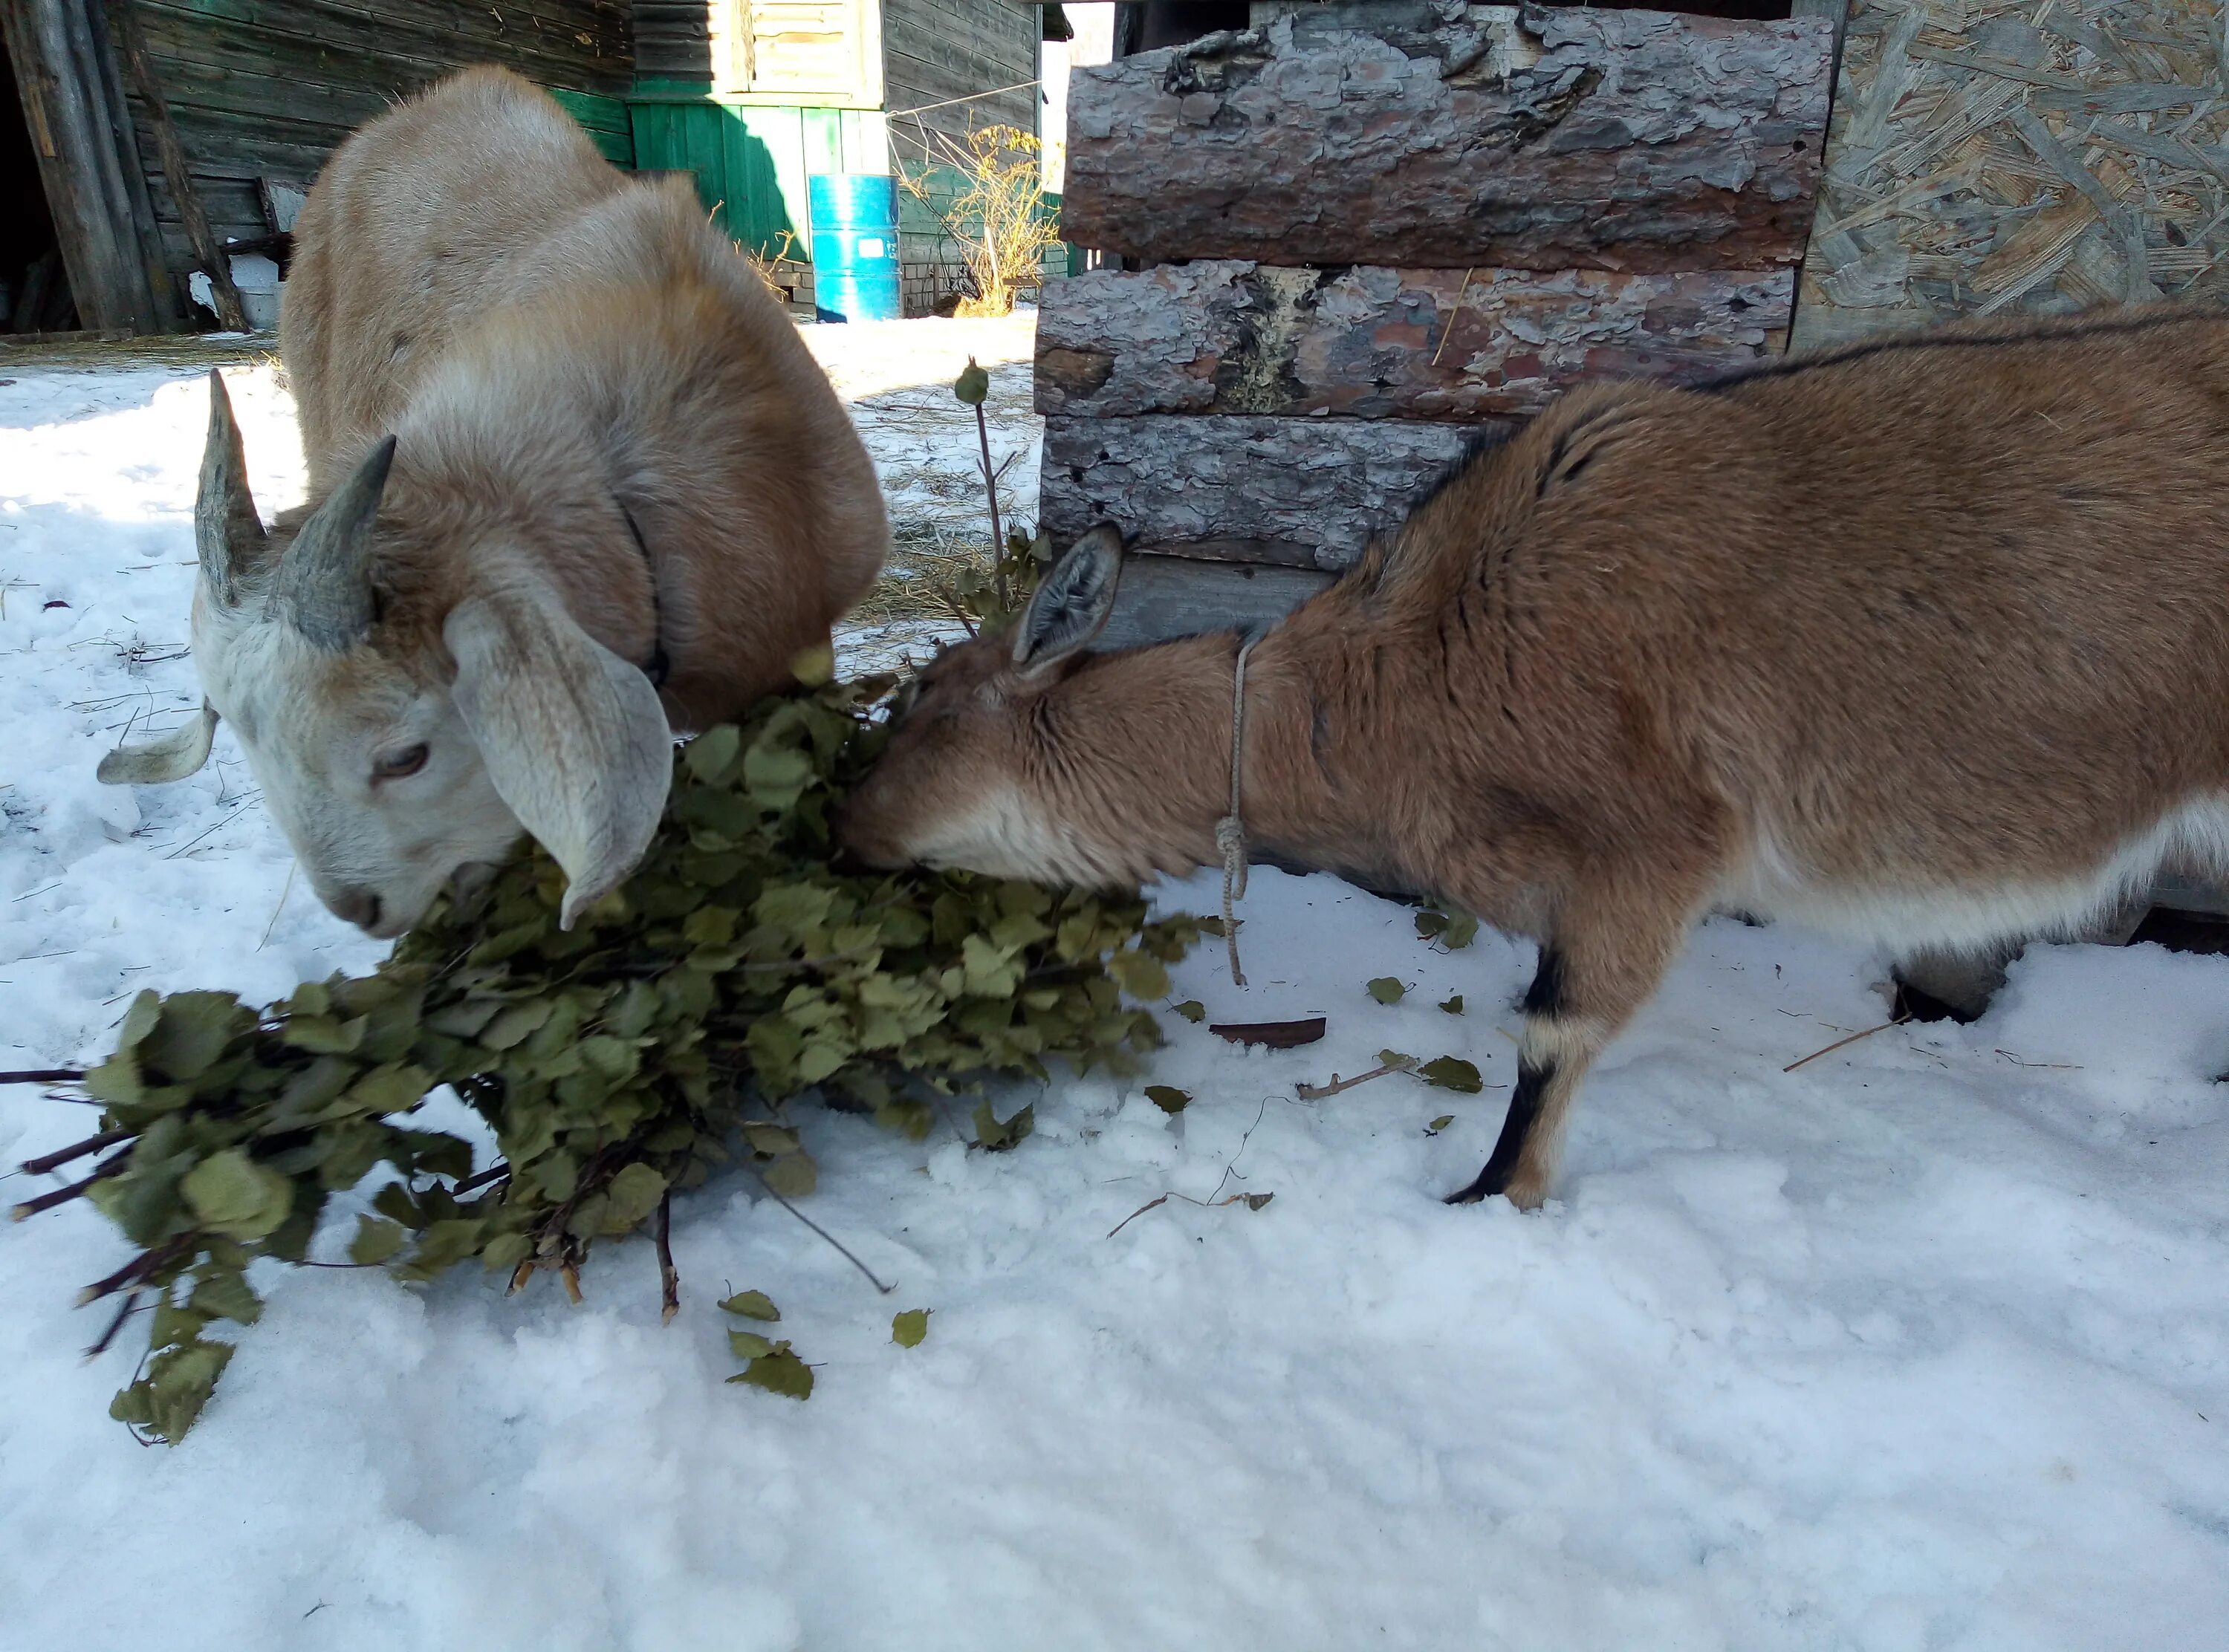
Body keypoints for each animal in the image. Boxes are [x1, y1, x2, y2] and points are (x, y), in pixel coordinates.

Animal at [838, 305, 2229, 1212]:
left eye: (922, 701)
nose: (843, 831)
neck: (1396, 675)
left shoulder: (1652, 851)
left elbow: (1554, 1039)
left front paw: (1484, 1203)